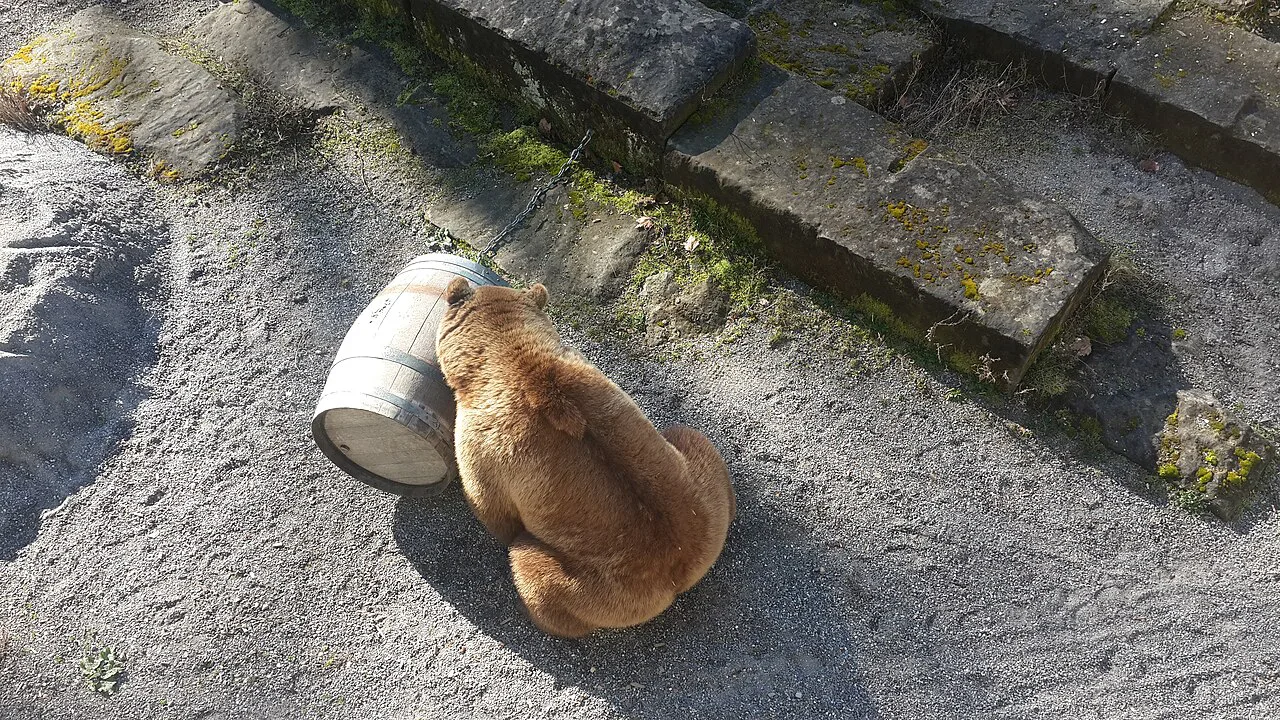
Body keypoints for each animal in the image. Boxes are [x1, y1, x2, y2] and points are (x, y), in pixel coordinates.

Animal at [435, 277, 735, 638]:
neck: (503, 355)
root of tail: (678, 570)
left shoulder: (483, 438)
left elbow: (490, 505)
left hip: (592, 585)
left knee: (532, 571)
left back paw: (532, 610)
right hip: (702, 491)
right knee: (690, 437)